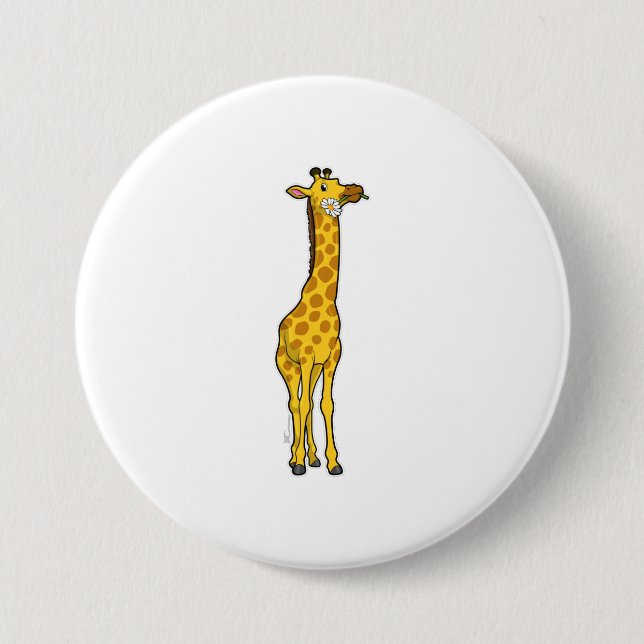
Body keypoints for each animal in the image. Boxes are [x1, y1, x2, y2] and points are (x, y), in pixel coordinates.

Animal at [276, 167, 368, 476]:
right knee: (295, 403)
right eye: (324, 186)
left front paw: (333, 462)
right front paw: (298, 464)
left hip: (313, 370)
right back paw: (296, 459)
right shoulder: (305, 358)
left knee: (308, 403)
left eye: (337, 180)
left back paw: (313, 457)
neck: (327, 301)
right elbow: (302, 404)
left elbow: (326, 404)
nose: (355, 188)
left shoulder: (331, 358)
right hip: (287, 366)